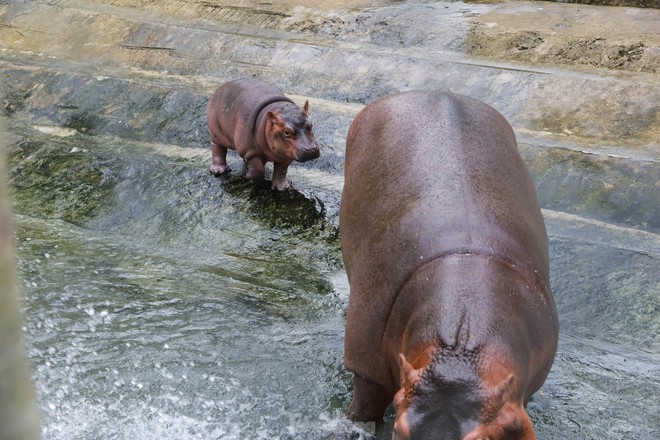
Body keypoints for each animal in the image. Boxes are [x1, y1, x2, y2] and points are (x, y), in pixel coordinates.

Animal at [338, 91, 560, 438]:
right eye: (399, 429)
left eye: (484, 438)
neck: (460, 352)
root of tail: (439, 92)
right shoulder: (366, 364)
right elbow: (363, 409)